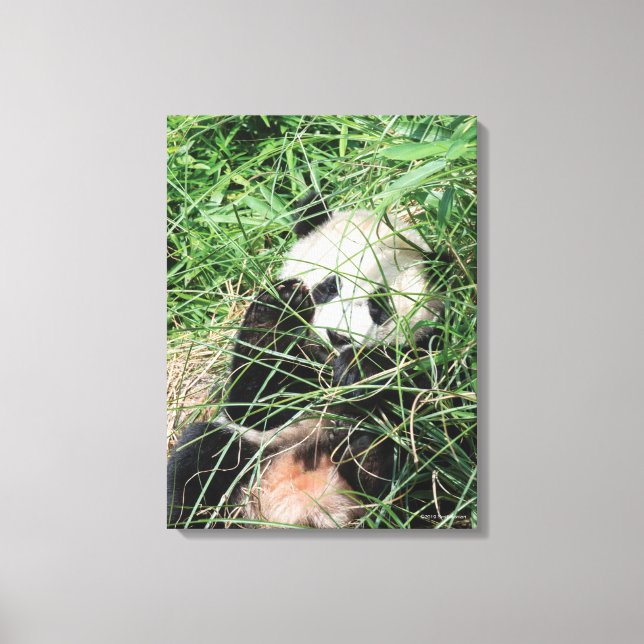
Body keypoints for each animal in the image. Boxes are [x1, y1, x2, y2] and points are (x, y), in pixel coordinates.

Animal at [167, 193, 444, 528]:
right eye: (330, 286)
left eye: (378, 305)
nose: (338, 335)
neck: (325, 361)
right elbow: (253, 405)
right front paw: (277, 308)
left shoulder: (435, 347)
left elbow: (430, 400)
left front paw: (362, 367)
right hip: (255, 451)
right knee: (200, 457)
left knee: (417, 475)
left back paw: (366, 457)